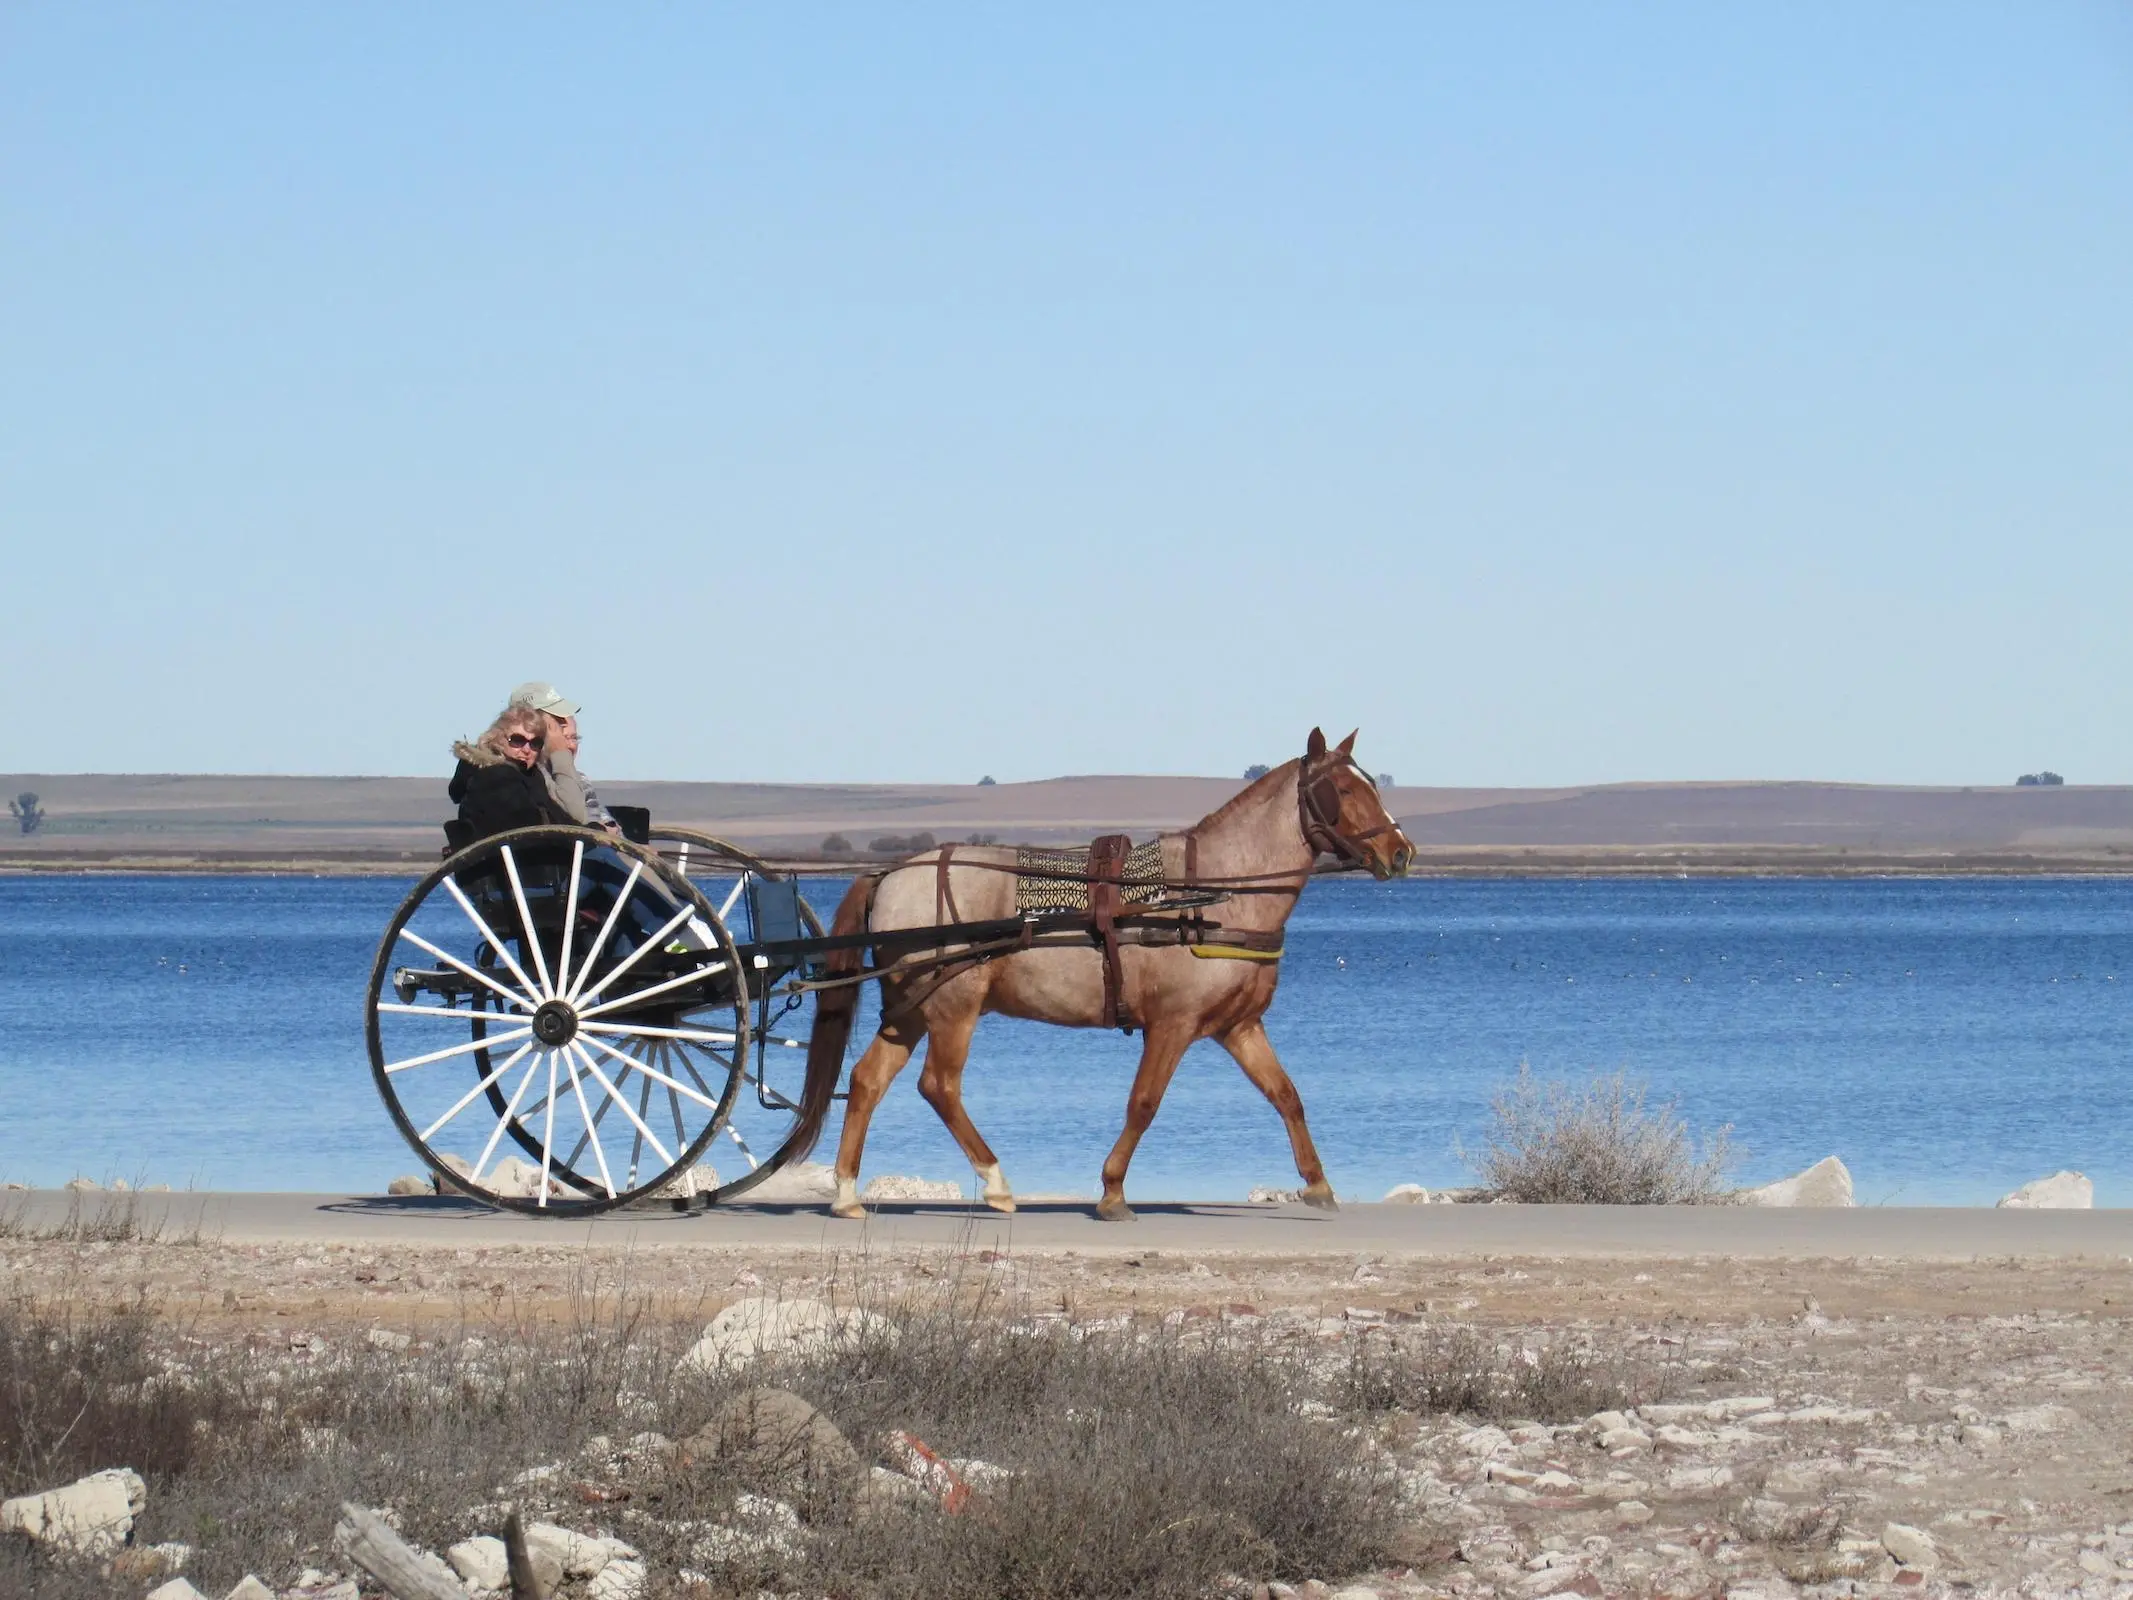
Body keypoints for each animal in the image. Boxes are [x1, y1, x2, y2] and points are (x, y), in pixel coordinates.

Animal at [784, 733, 1416, 1220]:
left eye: (1372, 784)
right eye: (1345, 790)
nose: (1402, 851)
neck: (1208, 895)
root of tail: (891, 873)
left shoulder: (1239, 1027)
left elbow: (1287, 1096)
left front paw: (1318, 1183)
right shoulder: (1172, 1024)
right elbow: (1144, 1103)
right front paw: (1112, 1191)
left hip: (914, 1007)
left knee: (868, 1080)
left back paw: (847, 1194)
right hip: (953, 1007)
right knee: (938, 1086)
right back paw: (996, 1183)